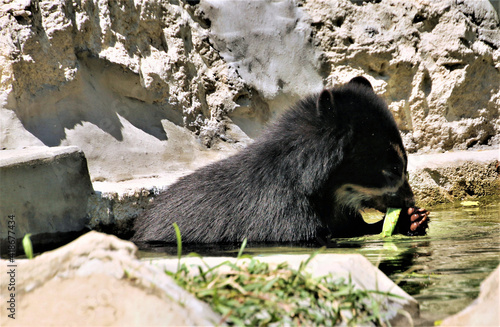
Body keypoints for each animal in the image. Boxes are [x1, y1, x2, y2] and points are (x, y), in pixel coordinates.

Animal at [131, 77, 428, 245]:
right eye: (393, 169)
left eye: (404, 166)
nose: (410, 201)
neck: (327, 191)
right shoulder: (281, 214)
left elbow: (353, 228)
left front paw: (413, 220)